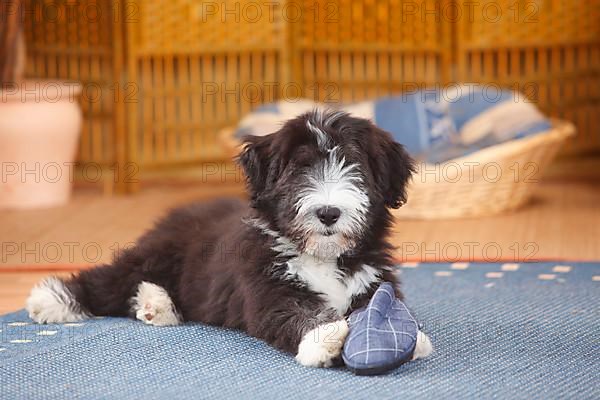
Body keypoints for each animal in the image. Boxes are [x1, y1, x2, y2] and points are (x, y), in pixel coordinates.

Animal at [27, 109, 432, 366]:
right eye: (300, 169)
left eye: (354, 167)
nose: (328, 212)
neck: (325, 255)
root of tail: (177, 213)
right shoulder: (269, 291)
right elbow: (298, 313)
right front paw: (327, 338)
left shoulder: (373, 280)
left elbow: (381, 305)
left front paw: (411, 337)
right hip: (155, 254)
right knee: (106, 282)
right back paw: (50, 301)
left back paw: (156, 305)